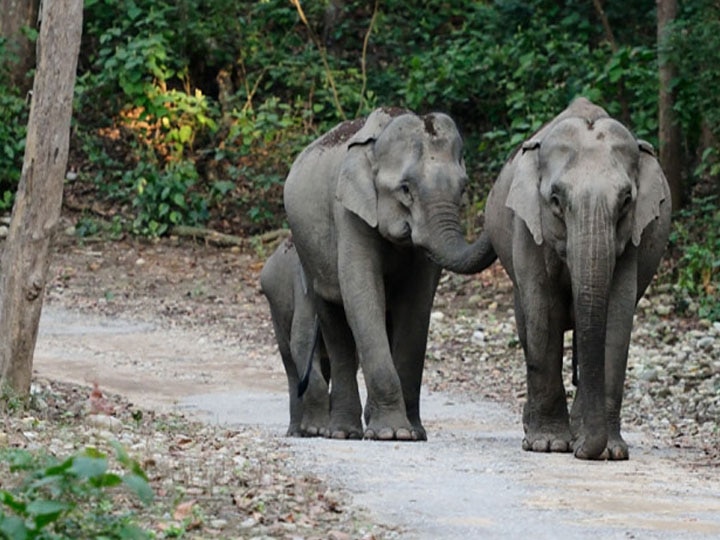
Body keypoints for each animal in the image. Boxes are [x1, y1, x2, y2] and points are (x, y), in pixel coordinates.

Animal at [262, 238, 332, 436]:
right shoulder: (303, 291)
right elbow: (301, 342)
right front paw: (317, 430)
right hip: (276, 311)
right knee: (290, 361)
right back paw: (298, 432)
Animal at [284, 107, 498, 440]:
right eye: (405, 189)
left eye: (462, 187)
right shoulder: (349, 213)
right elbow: (361, 296)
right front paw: (391, 433)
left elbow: (416, 306)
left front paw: (414, 433)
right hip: (308, 252)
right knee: (335, 324)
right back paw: (344, 432)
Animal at [486, 98, 672, 460]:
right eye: (556, 200)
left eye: (626, 200)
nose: (583, 450)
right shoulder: (527, 227)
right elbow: (542, 312)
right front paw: (548, 445)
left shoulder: (631, 240)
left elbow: (616, 315)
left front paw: (609, 452)